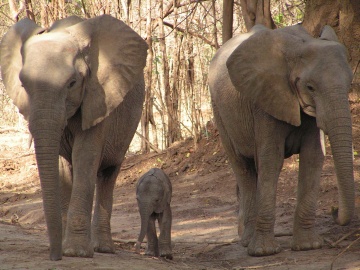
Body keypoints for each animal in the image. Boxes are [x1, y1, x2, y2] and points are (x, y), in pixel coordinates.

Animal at [0, 15, 148, 260]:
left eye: (72, 83)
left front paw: (76, 252)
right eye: (23, 84)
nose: (55, 256)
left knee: (108, 173)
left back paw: (103, 248)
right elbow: (62, 164)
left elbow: (85, 156)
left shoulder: (99, 97)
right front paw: (65, 248)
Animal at [208, 24, 354, 258]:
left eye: (350, 84)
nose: (334, 210)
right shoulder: (264, 101)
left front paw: (308, 246)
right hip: (219, 111)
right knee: (243, 168)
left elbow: (313, 158)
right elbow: (271, 161)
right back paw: (247, 241)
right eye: (310, 87)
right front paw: (264, 252)